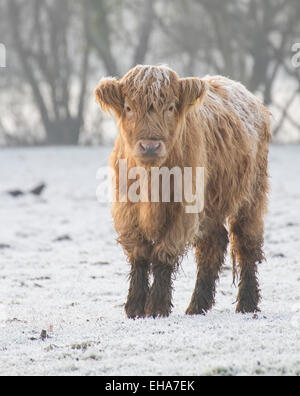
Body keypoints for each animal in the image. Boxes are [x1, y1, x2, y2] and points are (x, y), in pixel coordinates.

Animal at [94, 65, 272, 318]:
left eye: (170, 107)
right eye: (128, 107)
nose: (150, 146)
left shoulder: (182, 211)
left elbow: (163, 254)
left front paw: (157, 307)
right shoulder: (127, 209)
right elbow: (139, 255)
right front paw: (135, 307)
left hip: (251, 196)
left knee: (245, 243)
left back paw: (247, 303)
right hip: (210, 207)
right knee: (212, 246)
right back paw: (198, 306)